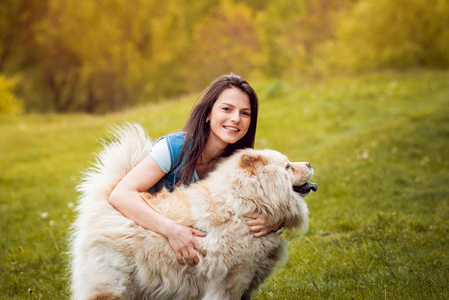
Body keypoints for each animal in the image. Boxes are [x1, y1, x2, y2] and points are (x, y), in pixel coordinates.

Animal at [69, 122, 316, 300]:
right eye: (287, 167)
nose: (310, 163)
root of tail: (108, 193)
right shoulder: (232, 280)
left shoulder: (249, 280)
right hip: (115, 284)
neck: (243, 203)